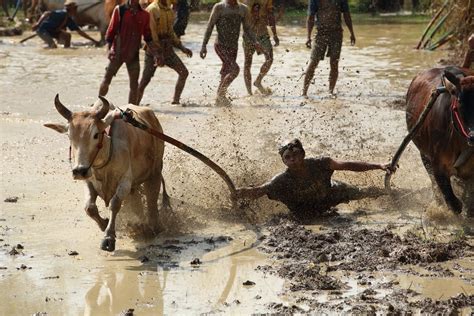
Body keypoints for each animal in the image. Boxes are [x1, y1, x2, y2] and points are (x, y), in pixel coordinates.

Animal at [43, 94, 168, 252]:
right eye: (69, 136)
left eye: (95, 135)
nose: (79, 171)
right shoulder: (89, 182)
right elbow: (89, 207)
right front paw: (104, 224)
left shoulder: (125, 182)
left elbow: (114, 204)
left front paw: (108, 238)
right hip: (135, 186)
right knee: (137, 204)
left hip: (155, 173)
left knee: (152, 202)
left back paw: (155, 227)